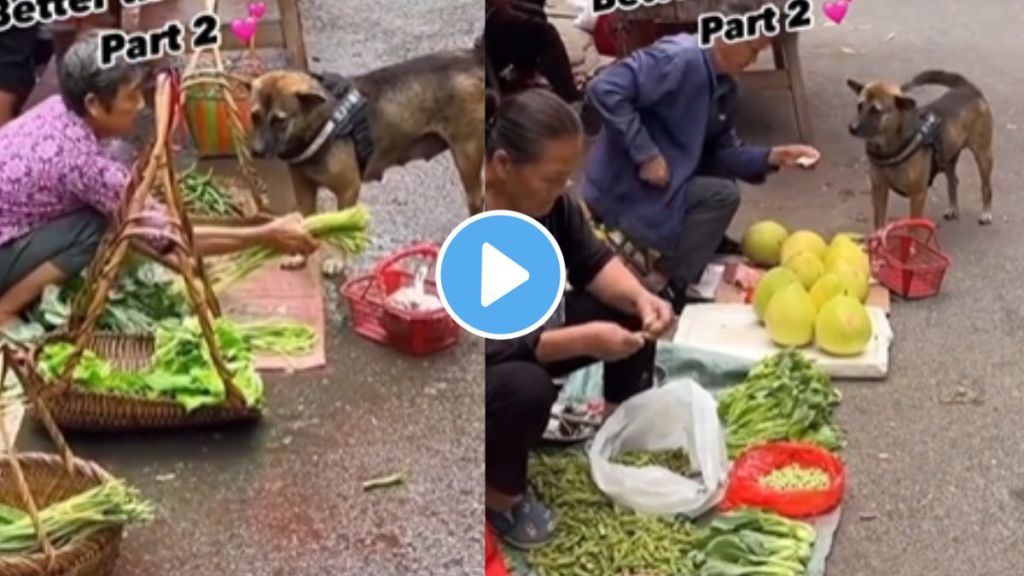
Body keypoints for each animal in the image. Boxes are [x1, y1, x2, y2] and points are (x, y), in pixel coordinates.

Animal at [249, 37, 485, 270]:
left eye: (280, 121)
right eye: (254, 116)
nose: (255, 151)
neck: (322, 121)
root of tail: (473, 55)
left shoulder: (348, 189)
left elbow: (342, 231)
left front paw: (337, 260)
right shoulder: (304, 190)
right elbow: (304, 223)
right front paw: (299, 255)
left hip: (467, 156)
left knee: (476, 199)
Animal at [847, 72, 991, 230]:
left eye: (876, 110)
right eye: (859, 106)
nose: (852, 128)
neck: (886, 147)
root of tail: (967, 87)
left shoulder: (917, 195)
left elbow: (913, 228)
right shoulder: (879, 189)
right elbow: (879, 224)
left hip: (983, 156)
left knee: (986, 187)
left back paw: (986, 213)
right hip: (947, 157)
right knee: (953, 181)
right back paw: (953, 208)